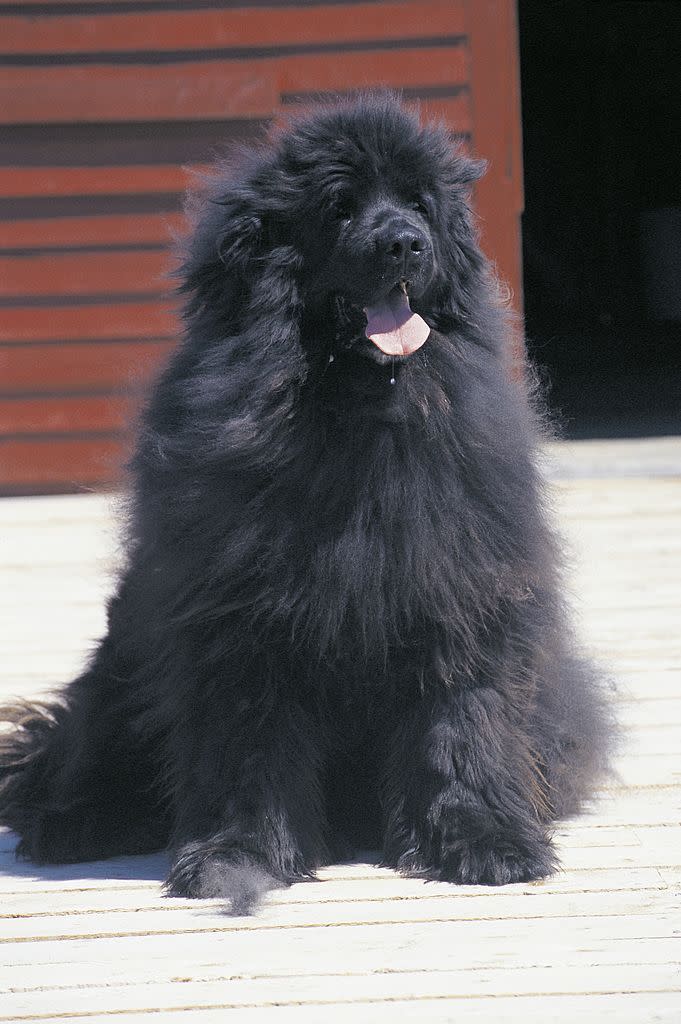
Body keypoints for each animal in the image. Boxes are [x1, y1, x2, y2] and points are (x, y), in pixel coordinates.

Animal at [0, 96, 610, 913]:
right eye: (338, 207)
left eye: (419, 203)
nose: (405, 243)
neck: (357, 409)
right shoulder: (241, 625)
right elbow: (248, 749)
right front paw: (238, 857)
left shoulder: (459, 591)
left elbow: (462, 722)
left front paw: (486, 843)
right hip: (119, 666)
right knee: (85, 749)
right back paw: (74, 822)